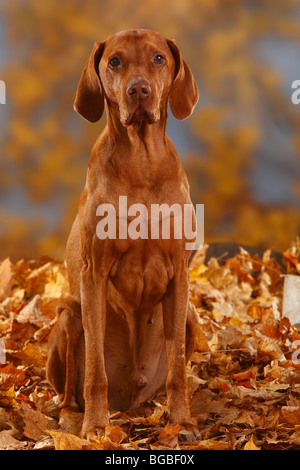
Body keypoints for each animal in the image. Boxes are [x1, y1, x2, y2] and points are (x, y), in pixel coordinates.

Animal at [47, 28, 199, 440]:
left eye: (159, 58)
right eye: (115, 61)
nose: (139, 89)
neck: (141, 163)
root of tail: (130, 401)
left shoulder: (179, 274)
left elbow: (179, 368)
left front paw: (181, 421)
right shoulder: (93, 274)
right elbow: (94, 372)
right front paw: (96, 425)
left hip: (191, 316)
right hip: (69, 316)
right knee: (70, 392)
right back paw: (74, 418)